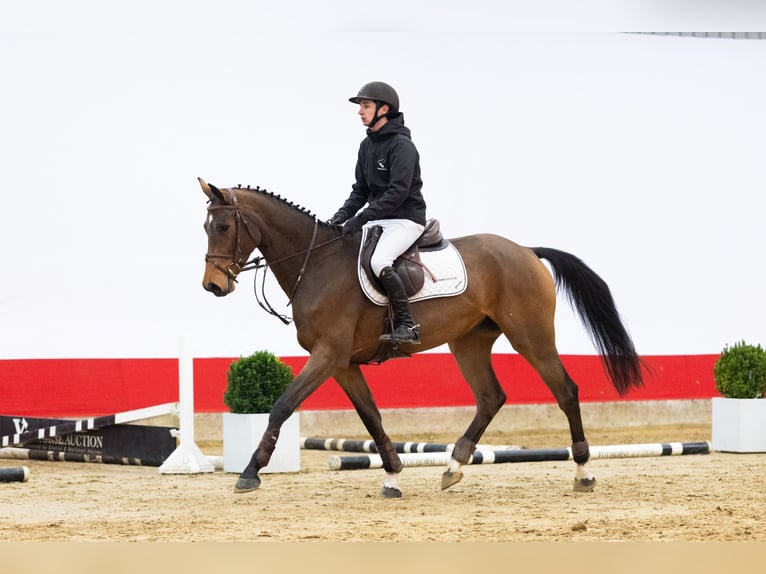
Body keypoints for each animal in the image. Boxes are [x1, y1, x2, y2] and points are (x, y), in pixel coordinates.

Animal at [199, 177, 643, 497]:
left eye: (222, 226)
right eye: (206, 227)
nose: (213, 286)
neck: (317, 263)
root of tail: (527, 251)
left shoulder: (327, 356)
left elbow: (281, 406)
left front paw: (250, 472)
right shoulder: (342, 364)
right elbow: (372, 417)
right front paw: (393, 476)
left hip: (530, 335)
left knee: (565, 390)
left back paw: (583, 473)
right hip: (468, 342)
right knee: (490, 397)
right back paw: (453, 466)